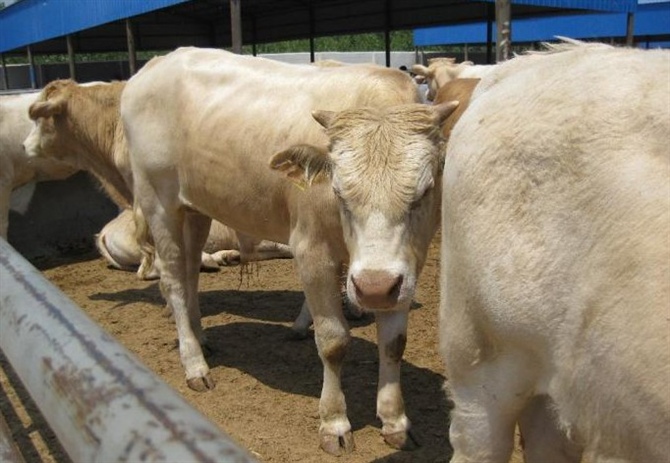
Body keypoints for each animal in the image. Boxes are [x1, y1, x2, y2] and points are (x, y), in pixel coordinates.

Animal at [118, 48, 462, 456]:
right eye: (339, 192)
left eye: (424, 191)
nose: (373, 289)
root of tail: (154, 65)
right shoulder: (312, 251)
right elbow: (333, 341)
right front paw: (334, 423)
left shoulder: (405, 267)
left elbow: (394, 343)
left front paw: (395, 422)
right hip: (158, 201)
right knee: (172, 278)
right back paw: (194, 364)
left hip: (197, 208)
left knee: (188, 275)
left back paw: (201, 338)